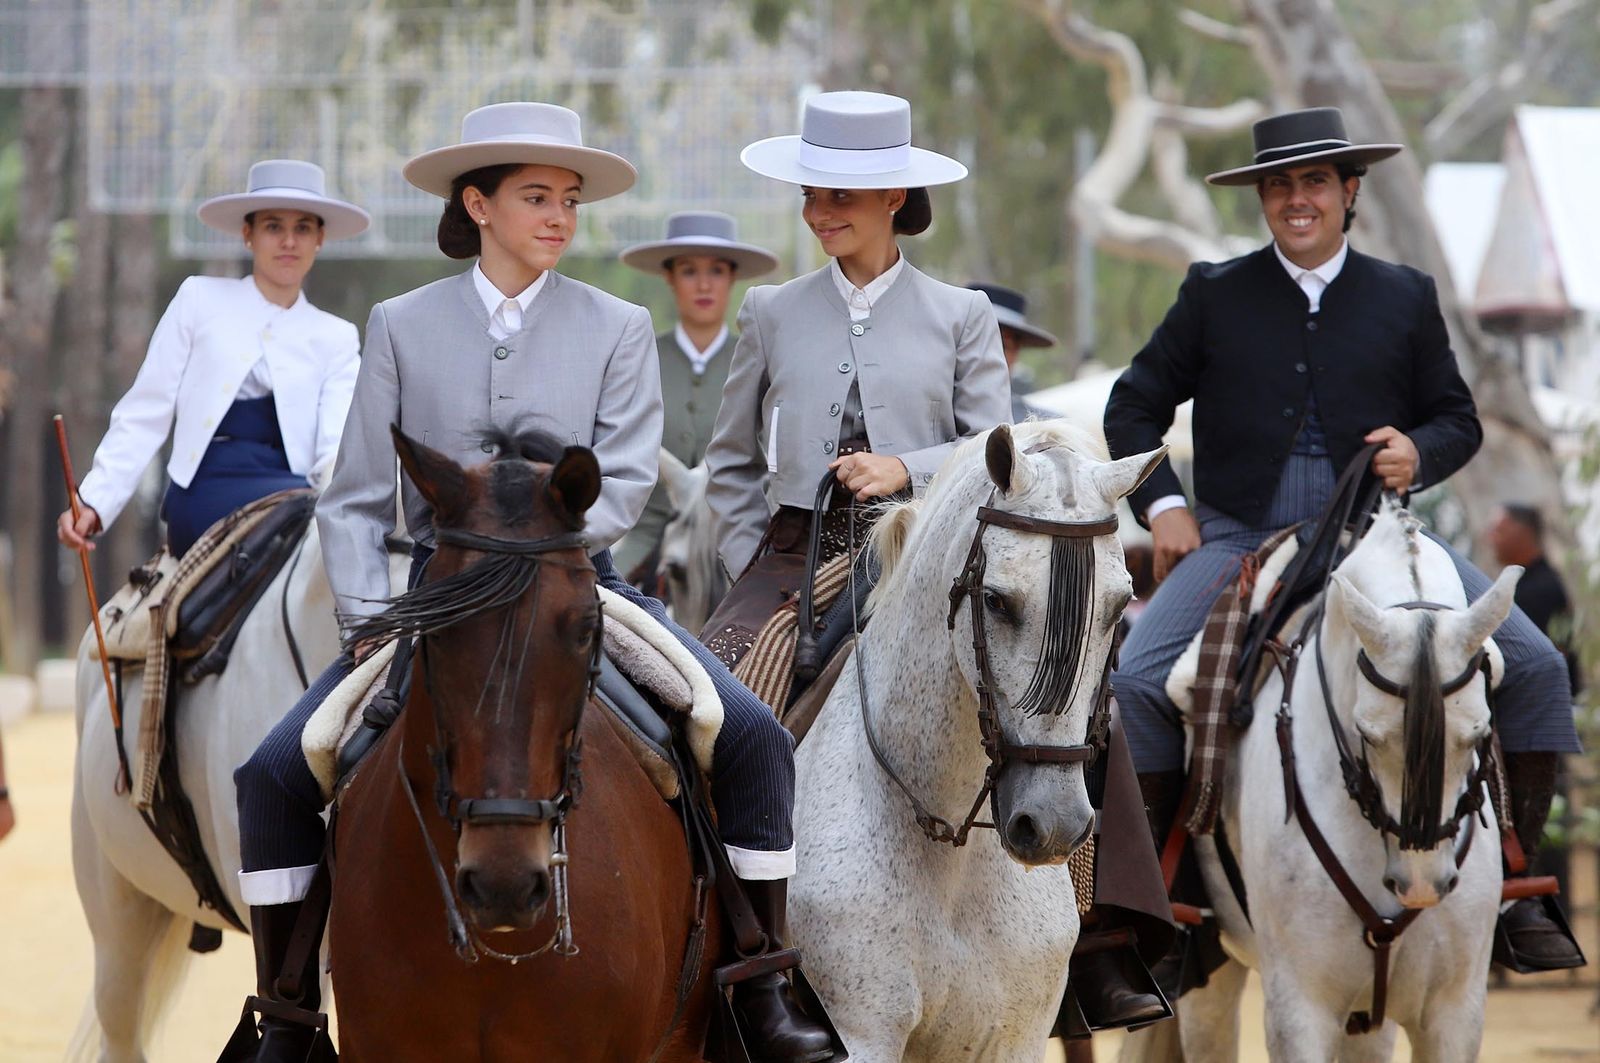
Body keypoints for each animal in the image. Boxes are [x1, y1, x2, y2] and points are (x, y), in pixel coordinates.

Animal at [788, 421, 1165, 1060]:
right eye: (996, 600)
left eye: (1119, 607)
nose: (1053, 825)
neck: (948, 849)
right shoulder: (862, 1033)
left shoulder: (1014, 1035)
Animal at [1169, 499, 1515, 1062]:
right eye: (1368, 734)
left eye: (1480, 733)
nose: (1422, 886)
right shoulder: (1299, 1010)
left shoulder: (1455, 1012)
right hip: (1210, 974)